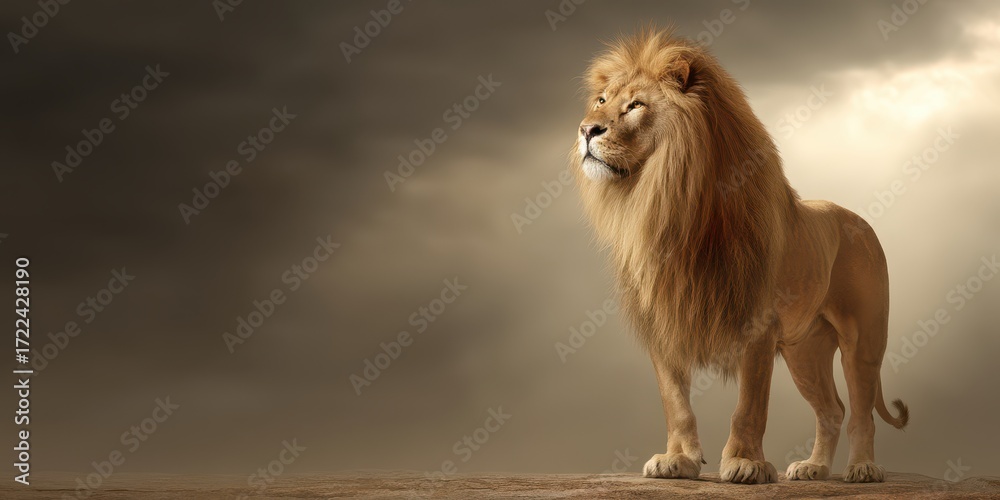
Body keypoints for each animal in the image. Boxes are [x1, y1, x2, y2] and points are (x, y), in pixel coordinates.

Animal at [572, 28, 908, 484]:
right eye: (602, 101)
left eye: (636, 105)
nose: (586, 129)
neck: (662, 201)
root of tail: (860, 221)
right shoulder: (664, 320)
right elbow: (675, 403)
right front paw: (677, 460)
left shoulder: (757, 324)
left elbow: (749, 406)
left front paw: (745, 463)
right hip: (806, 349)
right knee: (832, 410)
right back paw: (814, 468)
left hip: (863, 340)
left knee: (861, 412)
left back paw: (863, 468)